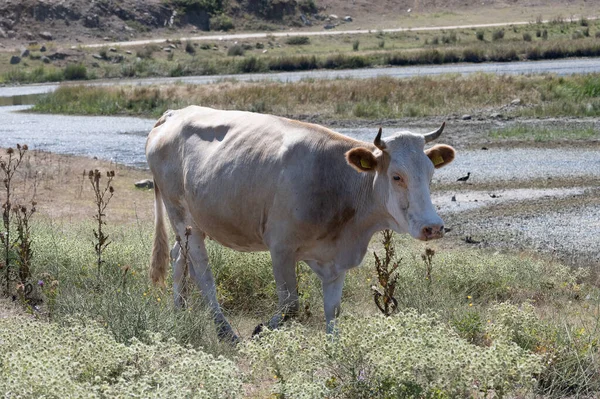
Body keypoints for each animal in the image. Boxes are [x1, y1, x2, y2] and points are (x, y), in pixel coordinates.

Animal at [146, 106, 454, 340]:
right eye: (397, 176)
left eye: (430, 174)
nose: (433, 227)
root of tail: (175, 113)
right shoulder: (281, 249)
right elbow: (291, 305)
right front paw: (259, 329)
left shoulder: (336, 261)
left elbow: (333, 312)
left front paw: (334, 351)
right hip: (180, 214)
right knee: (202, 272)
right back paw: (225, 332)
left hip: (190, 225)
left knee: (178, 258)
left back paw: (179, 312)